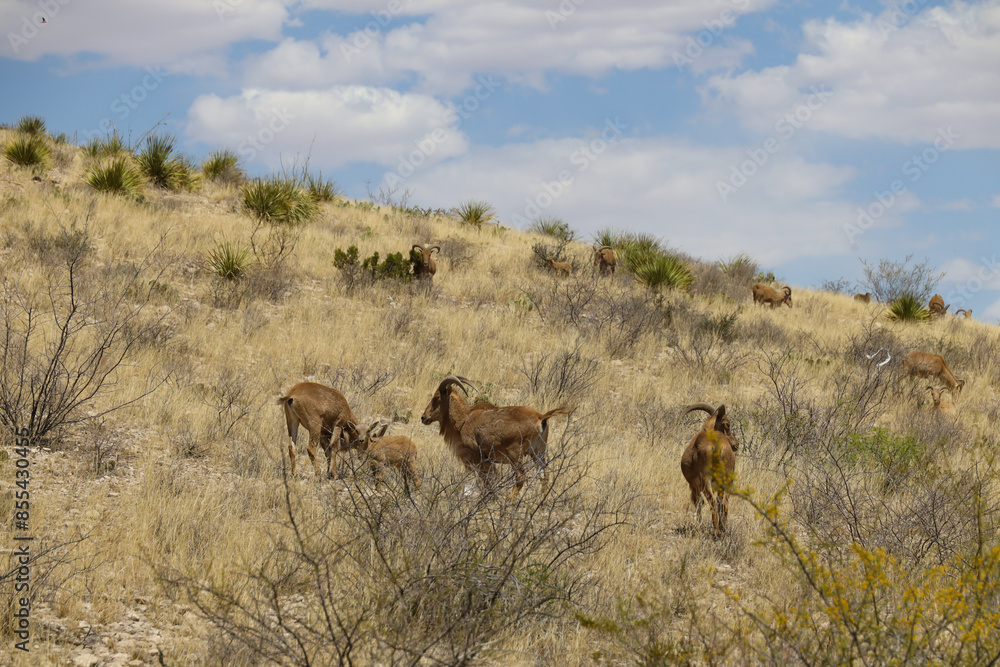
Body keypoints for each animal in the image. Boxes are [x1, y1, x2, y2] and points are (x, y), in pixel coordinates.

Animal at [420, 375, 571, 495]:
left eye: (436, 397)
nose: (423, 417)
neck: (463, 421)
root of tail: (541, 417)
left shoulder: (480, 459)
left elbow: (486, 483)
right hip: (538, 452)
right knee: (544, 475)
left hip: (515, 454)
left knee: (521, 478)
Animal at [680, 403, 738, 537]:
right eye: (728, 424)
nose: (736, 444)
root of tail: (718, 447)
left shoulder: (694, 486)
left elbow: (698, 502)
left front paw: (699, 524)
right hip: (727, 479)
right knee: (723, 503)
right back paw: (723, 530)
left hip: (706, 480)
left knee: (712, 502)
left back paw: (715, 531)